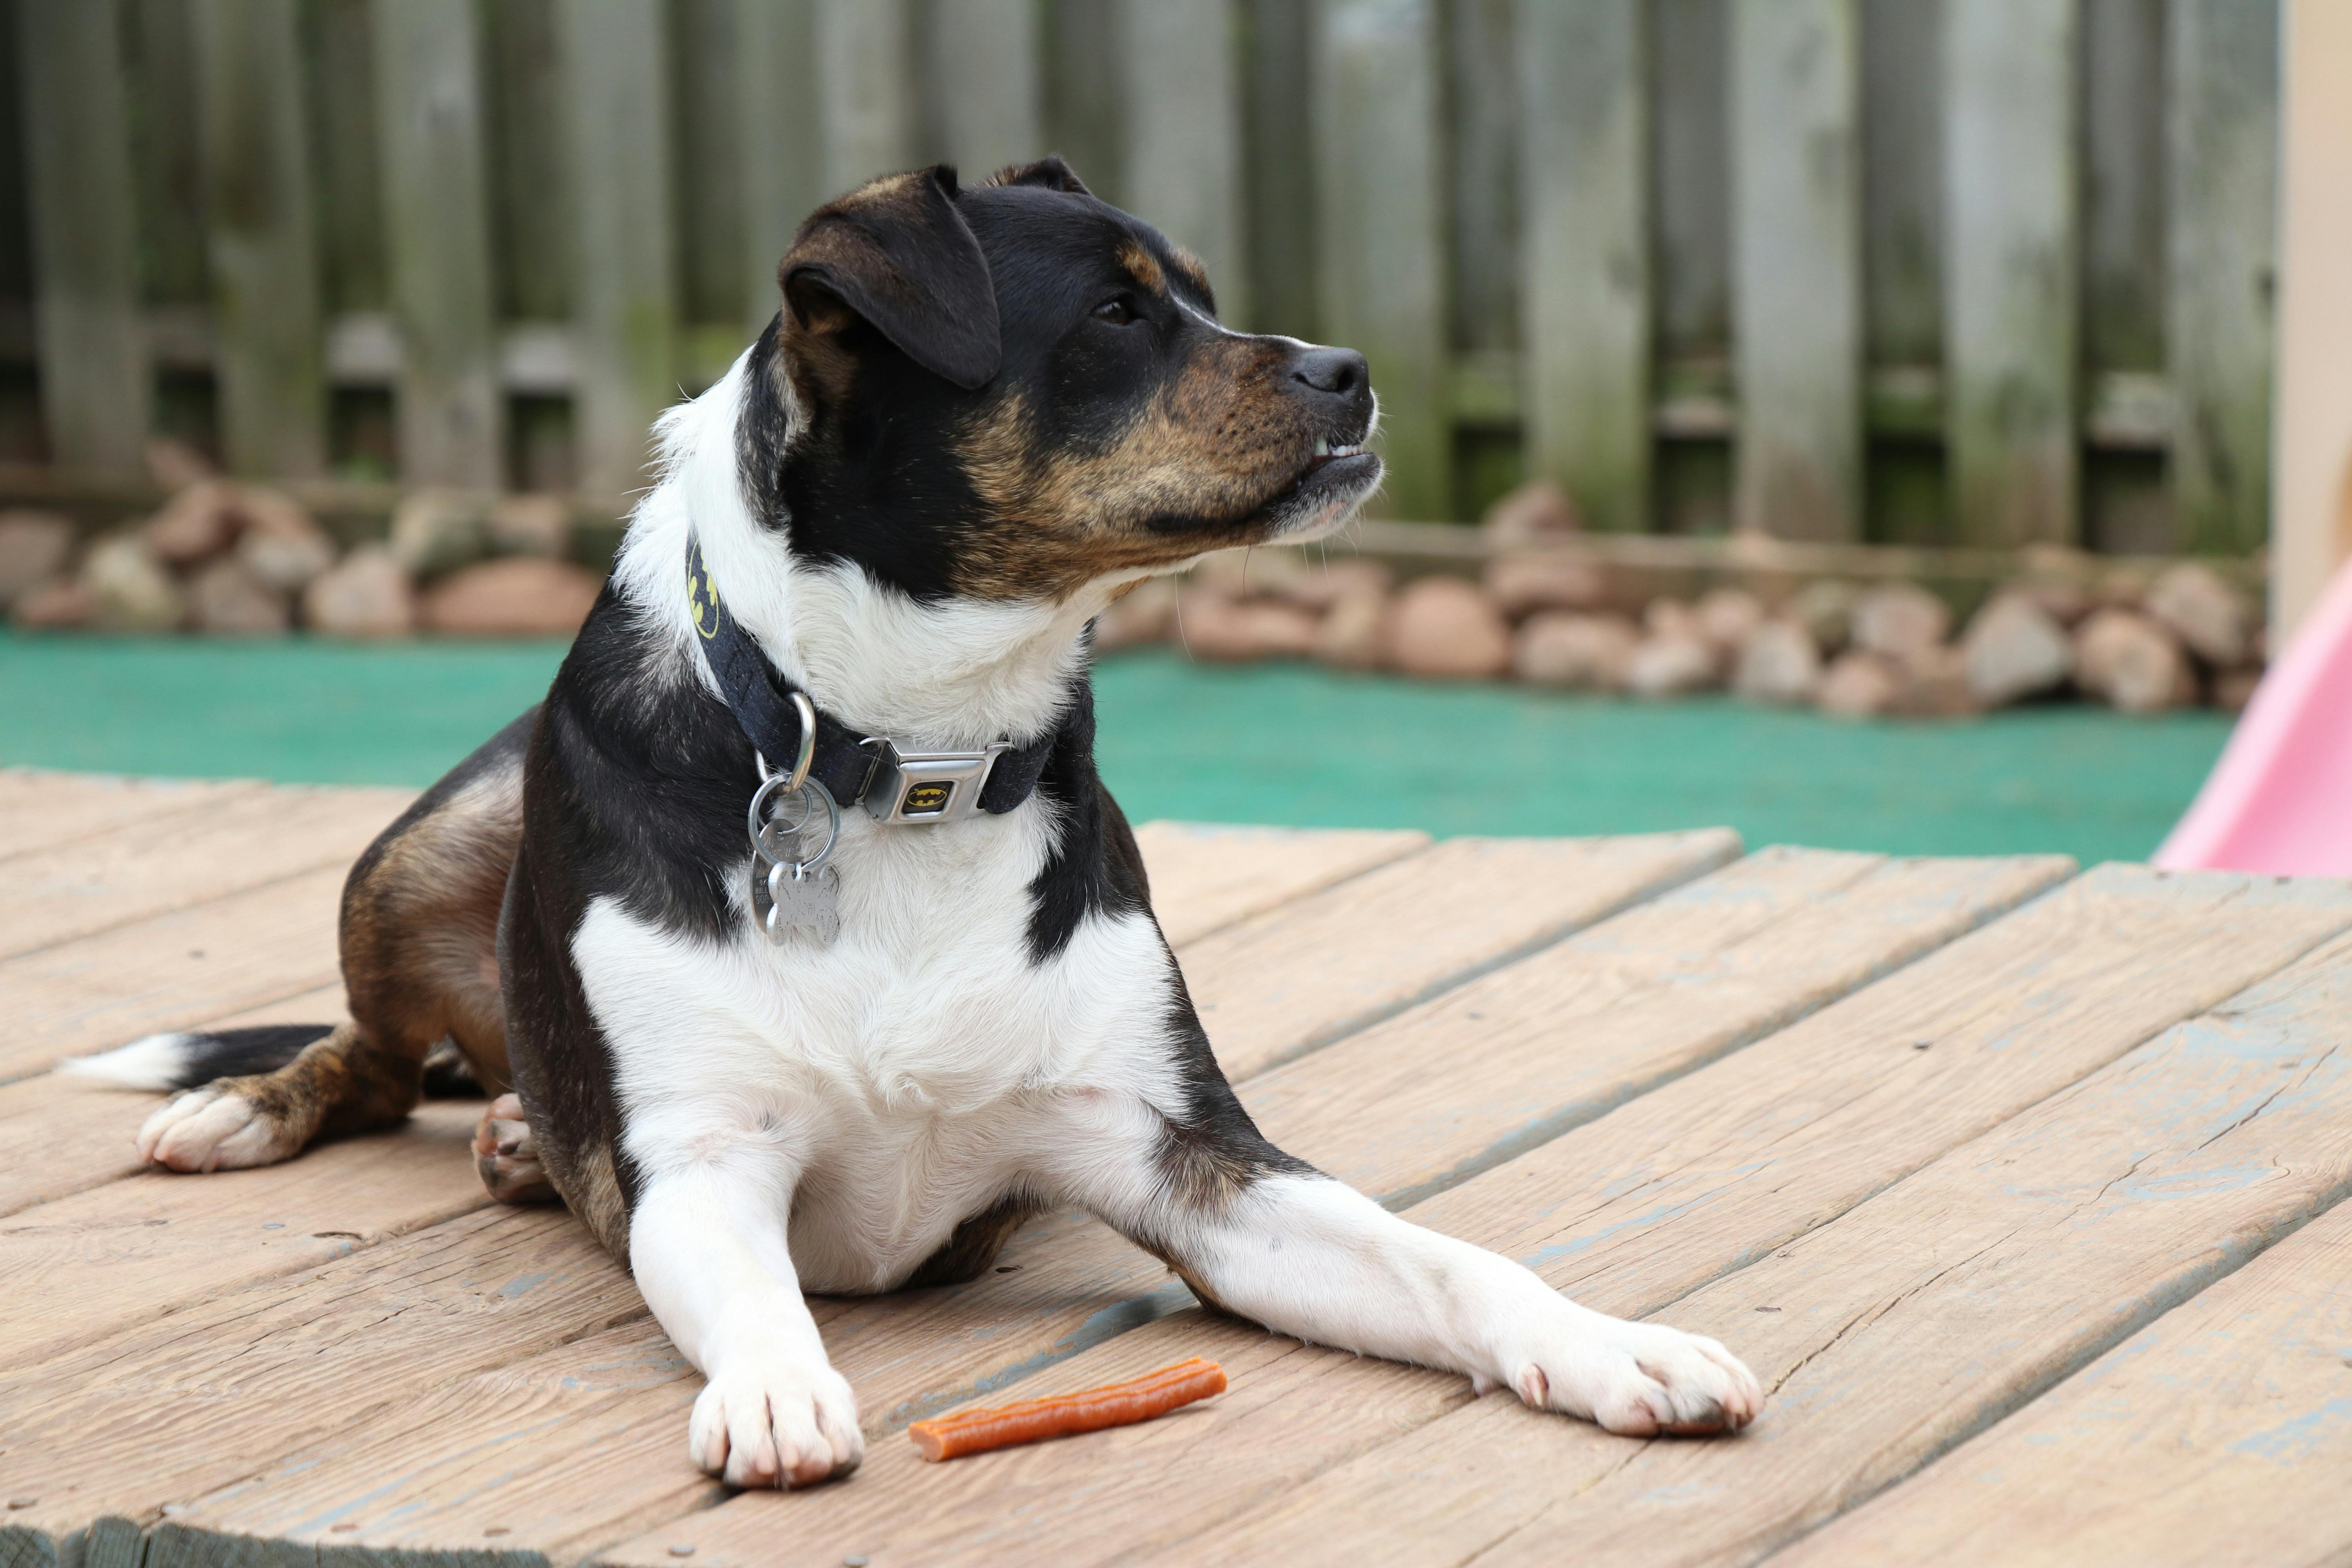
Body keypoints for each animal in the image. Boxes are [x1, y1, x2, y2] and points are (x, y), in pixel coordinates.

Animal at [69, 160, 1769, 1486]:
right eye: (1116, 316)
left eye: (1201, 297)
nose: (1348, 369)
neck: (908, 759)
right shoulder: (704, 1167)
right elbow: (756, 1292)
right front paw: (774, 1387)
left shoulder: (1193, 1162)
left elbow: (1443, 1257)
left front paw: (1612, 1347)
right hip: (416, 850)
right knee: (367, 1050)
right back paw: (255, 1108)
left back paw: (499, 1135)